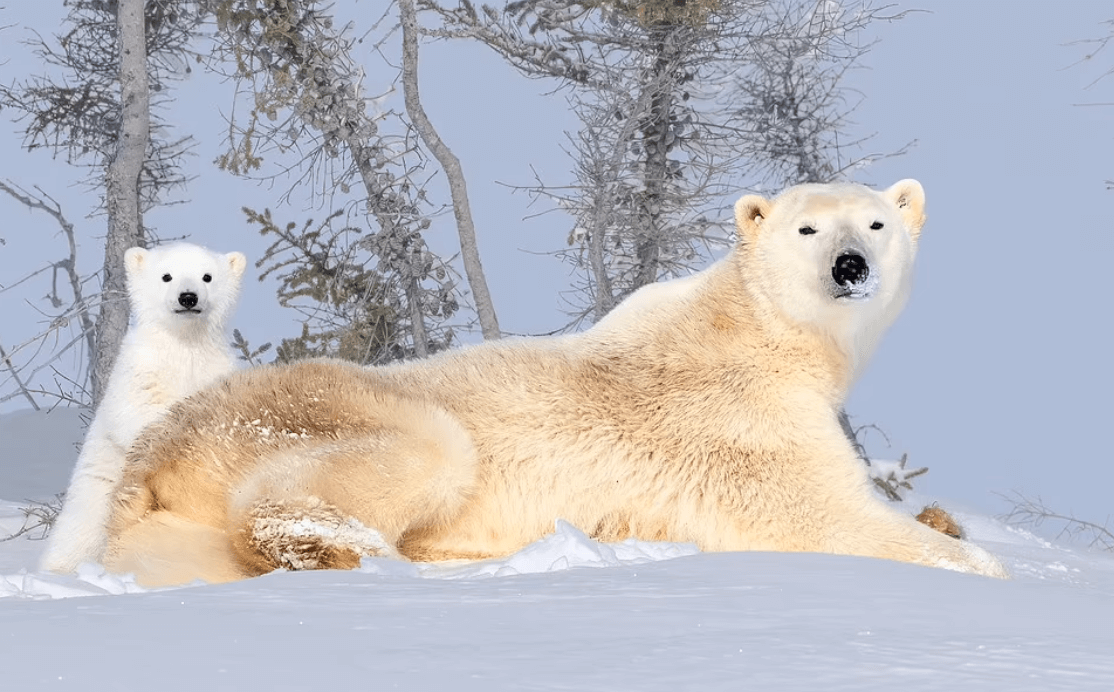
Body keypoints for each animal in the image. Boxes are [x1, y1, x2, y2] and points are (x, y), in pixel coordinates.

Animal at [42, 242, 247, 570]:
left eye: (207, 276)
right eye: (166, 276)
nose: (187, 297)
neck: (183, 344)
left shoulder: (216, 370)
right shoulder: (138, 370)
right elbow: (137, 416)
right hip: (96, 492)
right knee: (78, 533)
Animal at [106, 179, 1011, 583]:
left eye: (879, 222)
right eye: (808, 229)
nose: (851, 265)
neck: (759, 332)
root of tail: (154, 446)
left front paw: (943, 517)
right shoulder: (745, 429)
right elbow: (825, 518)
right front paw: (974, 560)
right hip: (330, 410)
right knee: (409, 455)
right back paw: (361, 550)